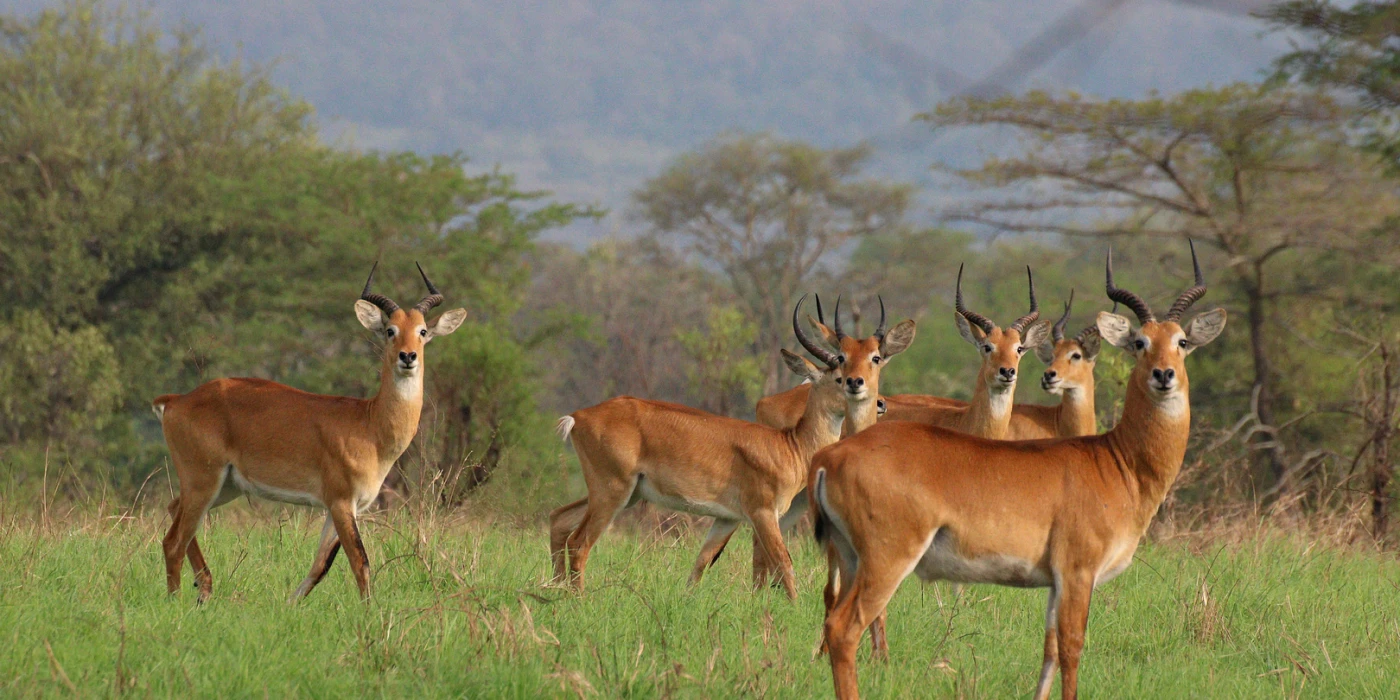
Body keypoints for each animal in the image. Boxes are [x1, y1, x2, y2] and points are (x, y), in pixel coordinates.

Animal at [152, 263, 467, 602]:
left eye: (422, 331)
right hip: (203, 481)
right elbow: (360, 562)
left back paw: (205, 590)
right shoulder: (341, 502)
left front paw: (288, 605)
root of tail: (176, 401)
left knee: (174, 513)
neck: (369, 425)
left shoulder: (344, 508)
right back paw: (176, 601)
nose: (408, 356)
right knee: (173, 542)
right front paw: (371, 611)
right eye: (390, 330)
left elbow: (320, 567)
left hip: (225, 486)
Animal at [546, 298, 884, 599]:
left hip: (624, 495)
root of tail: (578, 416)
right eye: (840, 376)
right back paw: (578, 601)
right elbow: (783, 564)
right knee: (579, 543)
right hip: (613, 492)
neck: (791, 446)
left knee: (559, 519)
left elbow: (700, 565)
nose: (877, 401)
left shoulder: (727, 519)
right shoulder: (763, 514)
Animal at [812, 242, 1226, 700]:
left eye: (1182, 341)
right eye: (1139, 341)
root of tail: (832, 457)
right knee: (843, 629)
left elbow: (1048, 653)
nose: (1164, 374)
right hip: (886, 559)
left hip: (850, 559)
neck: (1117, 460)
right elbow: (1071, 649)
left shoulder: (1056, 584)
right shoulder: (1077, 573)